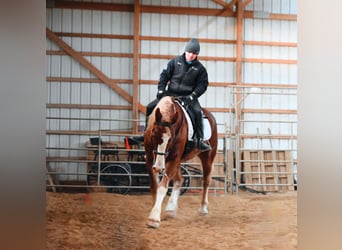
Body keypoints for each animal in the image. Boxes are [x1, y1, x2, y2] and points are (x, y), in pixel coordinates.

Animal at [143, 95, 218, 229]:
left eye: (171, 138)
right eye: (153, 134)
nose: (159, 168)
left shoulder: (173, 159)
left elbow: (162, 187)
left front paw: (154, 218)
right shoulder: (150, 159)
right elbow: (154, 186)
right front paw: (154, 210)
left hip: (207, 156)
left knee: (206, 181)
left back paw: (203, 209)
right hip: (177, 161)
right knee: (179, 179)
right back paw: (171, 209)